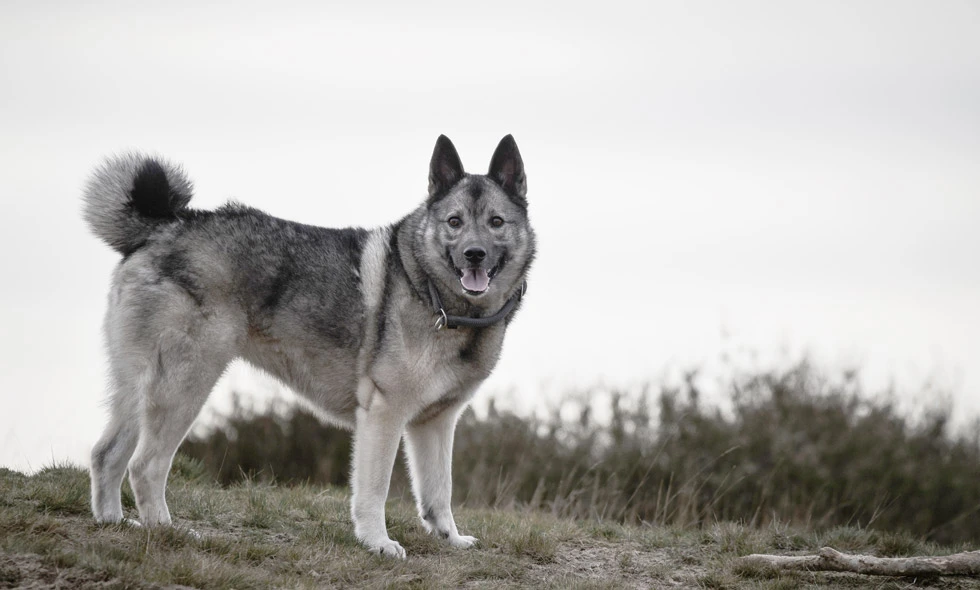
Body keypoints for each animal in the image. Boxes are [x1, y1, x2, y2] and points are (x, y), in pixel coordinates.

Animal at [84, 134, 536, 560]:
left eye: (496, 221)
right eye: (454, 222)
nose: (474, 254)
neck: (435, 294)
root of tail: (164, 226)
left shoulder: (436, 424)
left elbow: (439, 491)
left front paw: (450, 539)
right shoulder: (384, 414)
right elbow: (375, 490)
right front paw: (377, 542)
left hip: (139, 389)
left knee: (107, 455)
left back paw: (113, 522)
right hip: (184, 386)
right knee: (145, 466)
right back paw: (165, 530)